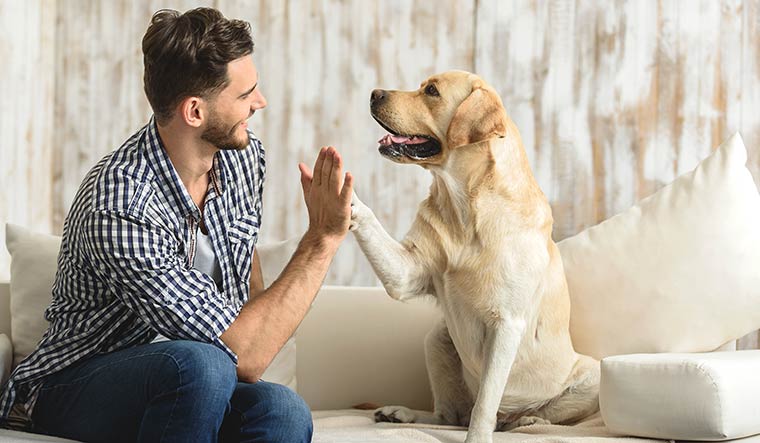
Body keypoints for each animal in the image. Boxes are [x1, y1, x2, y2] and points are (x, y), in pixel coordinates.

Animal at [350, 71, 600, 442]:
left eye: (432, 91)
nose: (374, 93)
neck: (465, 208)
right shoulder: (407, 274)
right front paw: (340, 190)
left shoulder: (506, 324)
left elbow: (485, 404)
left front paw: (480, 437)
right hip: (437, 339)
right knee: (449, 415)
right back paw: (401, 413)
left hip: (592, 376)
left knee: (520, 415)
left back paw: (525, 420)